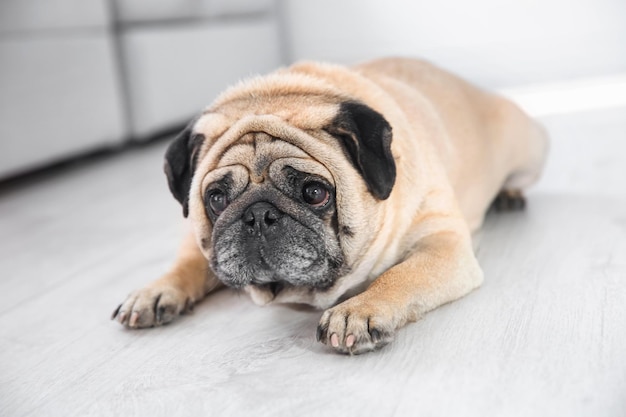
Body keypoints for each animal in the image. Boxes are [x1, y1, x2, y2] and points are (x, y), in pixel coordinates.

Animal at [112, 57, 544, 352]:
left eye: (315, 193)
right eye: (217, 199)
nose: (257, 215)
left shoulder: (443, 246)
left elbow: (400, 275)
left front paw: (359, 310)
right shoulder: (201, 241)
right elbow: (189, 262)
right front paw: (156, 291)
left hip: (532, 151)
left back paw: (508, 195)